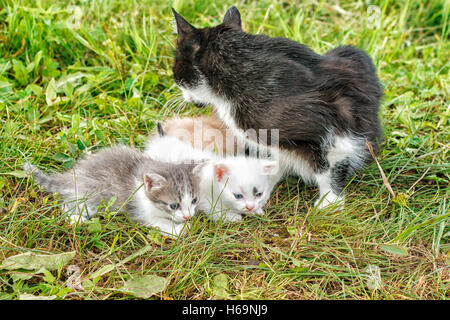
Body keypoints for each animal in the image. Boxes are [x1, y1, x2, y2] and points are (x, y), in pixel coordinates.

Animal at [24, 145, 200, 238]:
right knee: (67, 204)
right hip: (93, 196)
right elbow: (157, 223)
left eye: (194, 200)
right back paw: (75, 219)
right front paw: (179, 229)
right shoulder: (138, 210)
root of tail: (72, 175)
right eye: (173, 205)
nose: (187, 216)